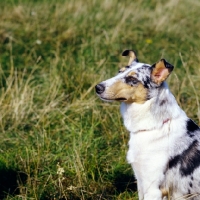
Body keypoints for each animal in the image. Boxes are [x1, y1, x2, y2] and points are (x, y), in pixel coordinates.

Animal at [95, 49, 200, 198]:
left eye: (132, 80)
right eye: (119, 71)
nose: (97, 87)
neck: (156, 127)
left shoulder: (153, 189)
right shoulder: (141, 182)